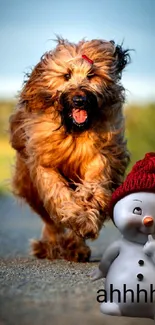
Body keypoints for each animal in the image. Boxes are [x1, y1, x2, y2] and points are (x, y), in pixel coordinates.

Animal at [9, 37, 130, 260]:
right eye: (66, 75)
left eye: (91, 75)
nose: (79, 99)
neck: (73, 131)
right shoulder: (44, 162)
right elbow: (56, 191)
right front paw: (74, 214)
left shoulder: (100, 155)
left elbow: (93, 187)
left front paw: (85, 221)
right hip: (28, 185)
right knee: (49, 219)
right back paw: (49, 245)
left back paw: (76, 247)